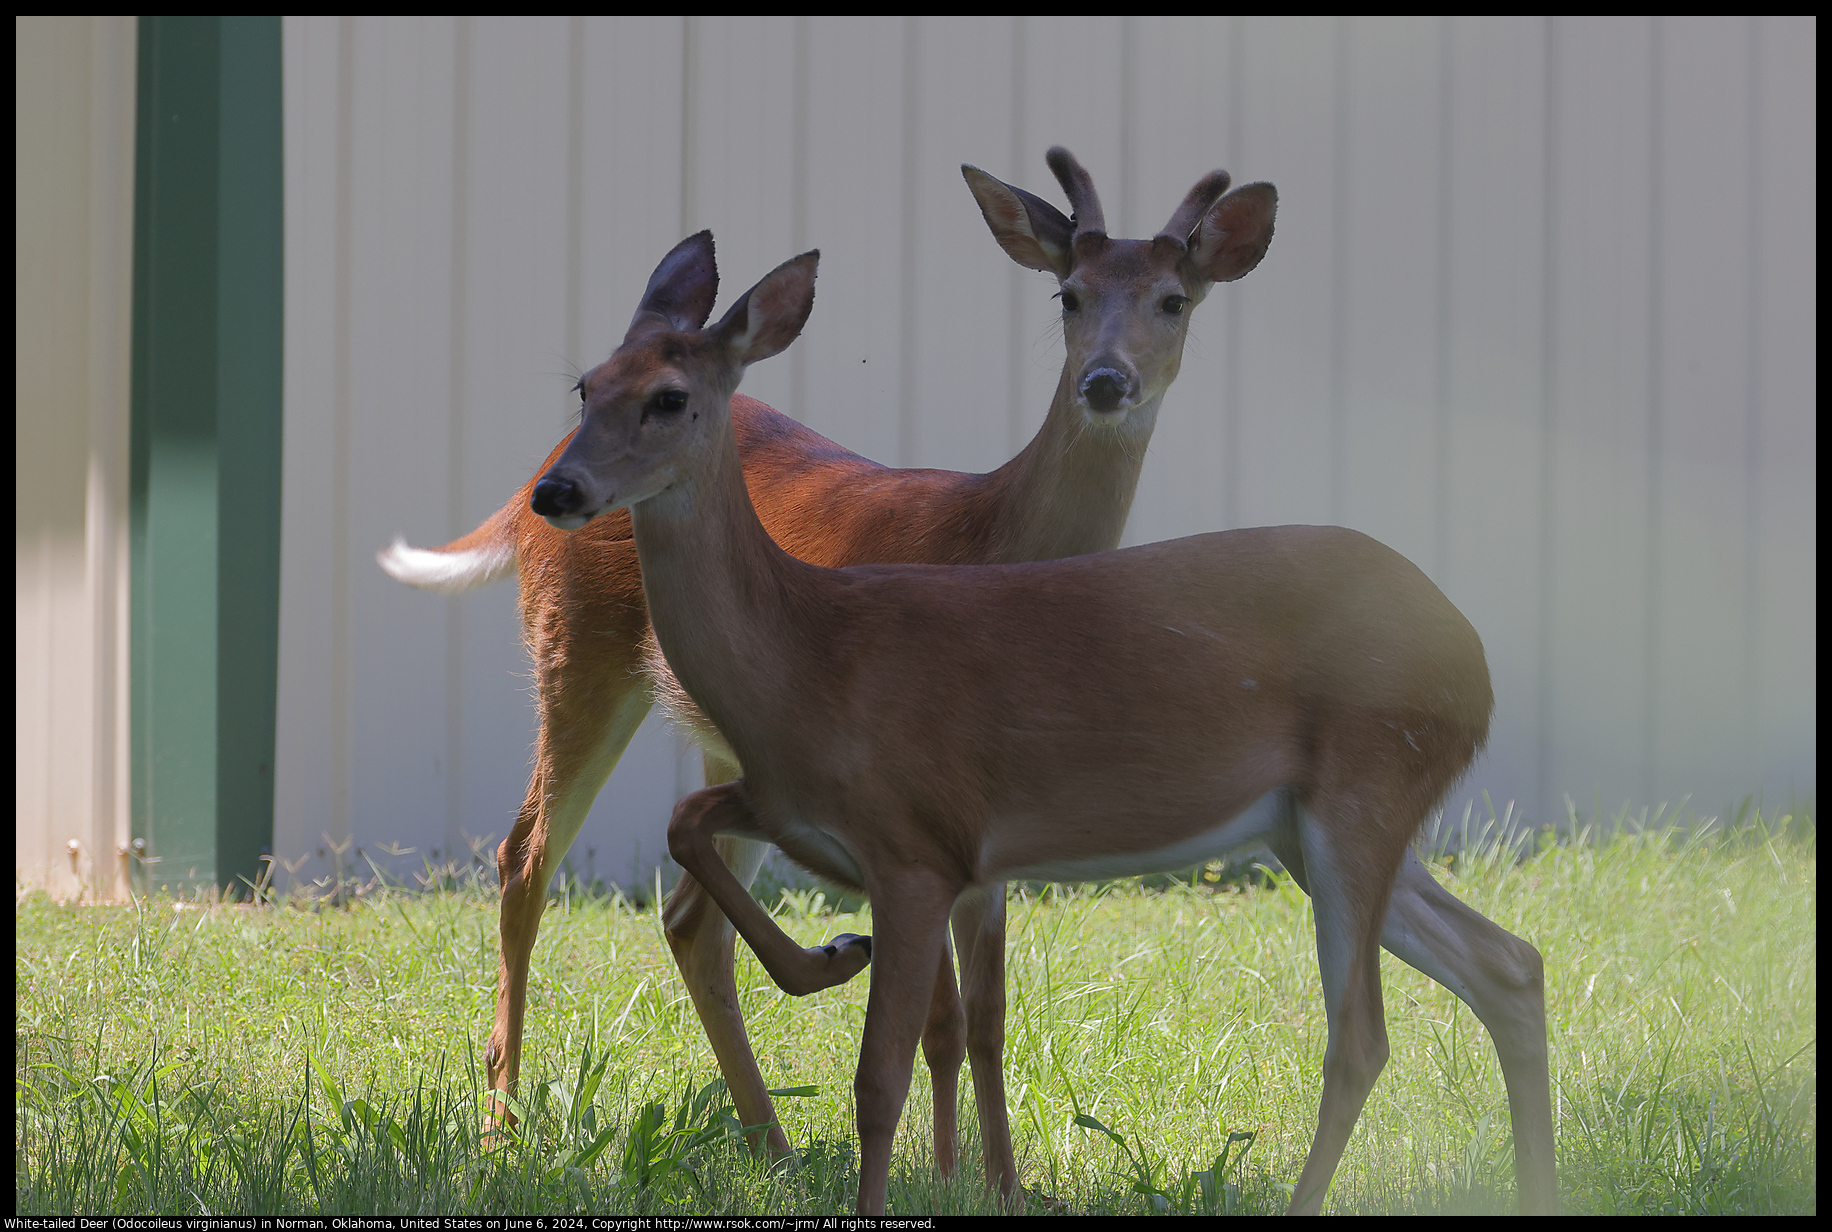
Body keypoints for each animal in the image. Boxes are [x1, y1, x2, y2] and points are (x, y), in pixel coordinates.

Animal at [379, 151, 1282, 1166]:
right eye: (1068, 293)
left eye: (1174, 299)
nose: (1103, 381)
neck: (989, 538)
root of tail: (532, 474)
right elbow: (940, 1018)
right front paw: (944, 1172)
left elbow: (976, 1013)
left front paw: (965, 1168)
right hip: (578, 655)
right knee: (524, 856)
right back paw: (501, 1120)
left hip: (721, 736)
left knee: (686, 919)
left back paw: (772, 1142)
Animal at [527, 238, 1560, 1210]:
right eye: (586, 385)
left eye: (668, 398)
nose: (555, 490)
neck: (807, 658)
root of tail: (1473, 659)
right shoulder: (801, 809)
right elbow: (686, 825)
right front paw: (829, 956)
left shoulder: (917, 848)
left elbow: (879, 1081)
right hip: (1308, 824)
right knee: (1507, 962)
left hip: (1365, 781)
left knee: (1362, 1035)